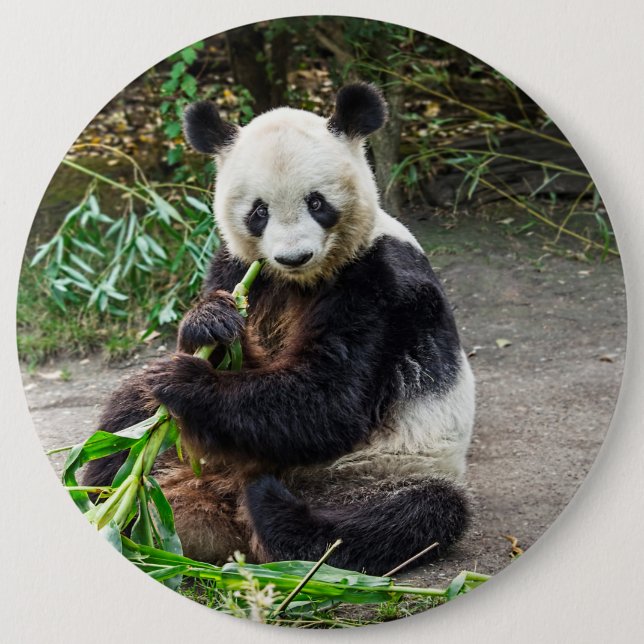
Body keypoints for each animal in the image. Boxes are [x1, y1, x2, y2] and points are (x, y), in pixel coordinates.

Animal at [83, 83, 475, 576]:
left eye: (317, 202)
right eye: (258, 211)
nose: (293, 256)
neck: (300, 282)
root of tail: (217, 498)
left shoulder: (378, 283)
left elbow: (329, 401)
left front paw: (187, 381)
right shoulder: (238, 268)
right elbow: (234, 348)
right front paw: (210, 324)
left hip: (383, 470)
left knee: (400, 518)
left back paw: (269, 506)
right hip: (189, 451)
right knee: (128, 414)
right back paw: (116, 500)